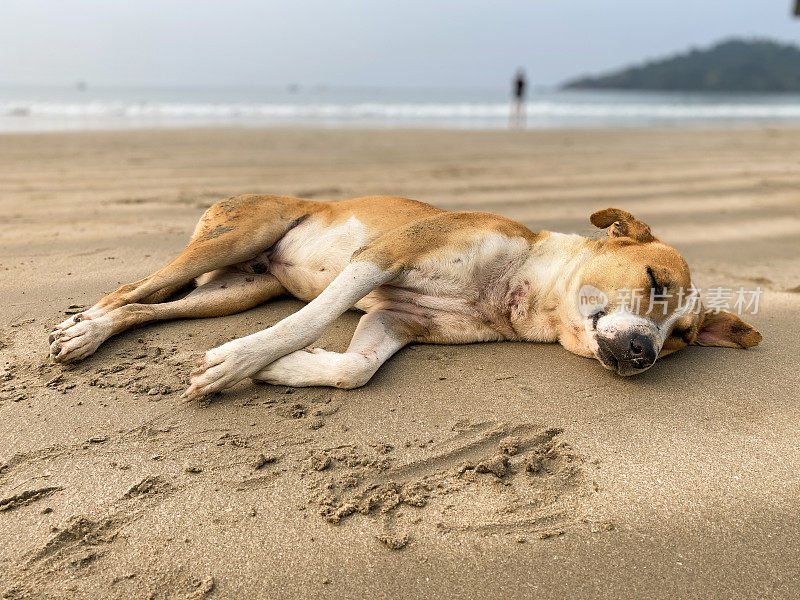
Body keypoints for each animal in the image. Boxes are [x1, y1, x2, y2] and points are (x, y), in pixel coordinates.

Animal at [48, 195, 764, 400]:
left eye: (680, 340)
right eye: (655, 283)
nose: (646, 354)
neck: (521, 288)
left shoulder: (395, 321)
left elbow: (353, 368)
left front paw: (275, 369)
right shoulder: (381, 259)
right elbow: (310, 320)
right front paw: (239, 362)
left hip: (238, 291)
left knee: (150, 306)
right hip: (237, 236)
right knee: (130, 289)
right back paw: (83, 328)